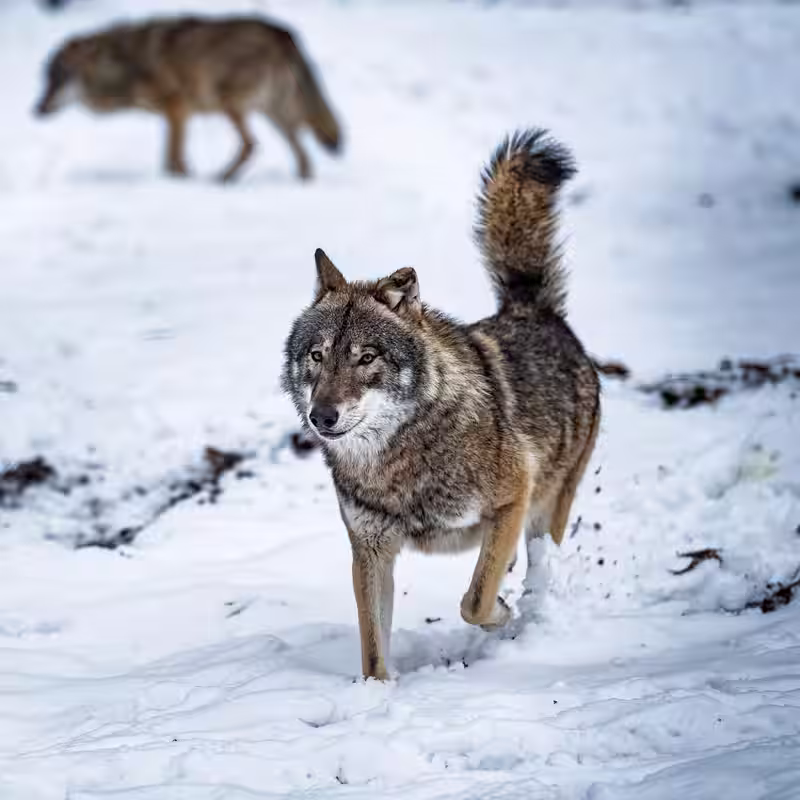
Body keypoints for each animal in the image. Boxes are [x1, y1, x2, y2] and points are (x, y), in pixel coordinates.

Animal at [35, 16, 342, 182]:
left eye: (59, 78)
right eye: (45, 80)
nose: (36, 109)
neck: (125, 64)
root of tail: (280, 31)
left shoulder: (176, 109)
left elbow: (172, 159)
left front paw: (182, 180)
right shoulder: (176, 116)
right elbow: (174, 159)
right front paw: (185, 177)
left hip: (230, 103)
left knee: (251, 144)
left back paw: (221, 179)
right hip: (273, 113)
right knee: (302, 155)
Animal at [283, 130, 600, 680]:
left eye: (366, 357)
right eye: (317, 356)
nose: (323, 417)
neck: (399, 462)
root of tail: (530, 309)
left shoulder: (513, 497)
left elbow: (474, 602)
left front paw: (503, 615)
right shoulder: (370, 551)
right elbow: (373, 652)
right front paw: (376, 694)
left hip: (546, 510)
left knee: (535, 565)